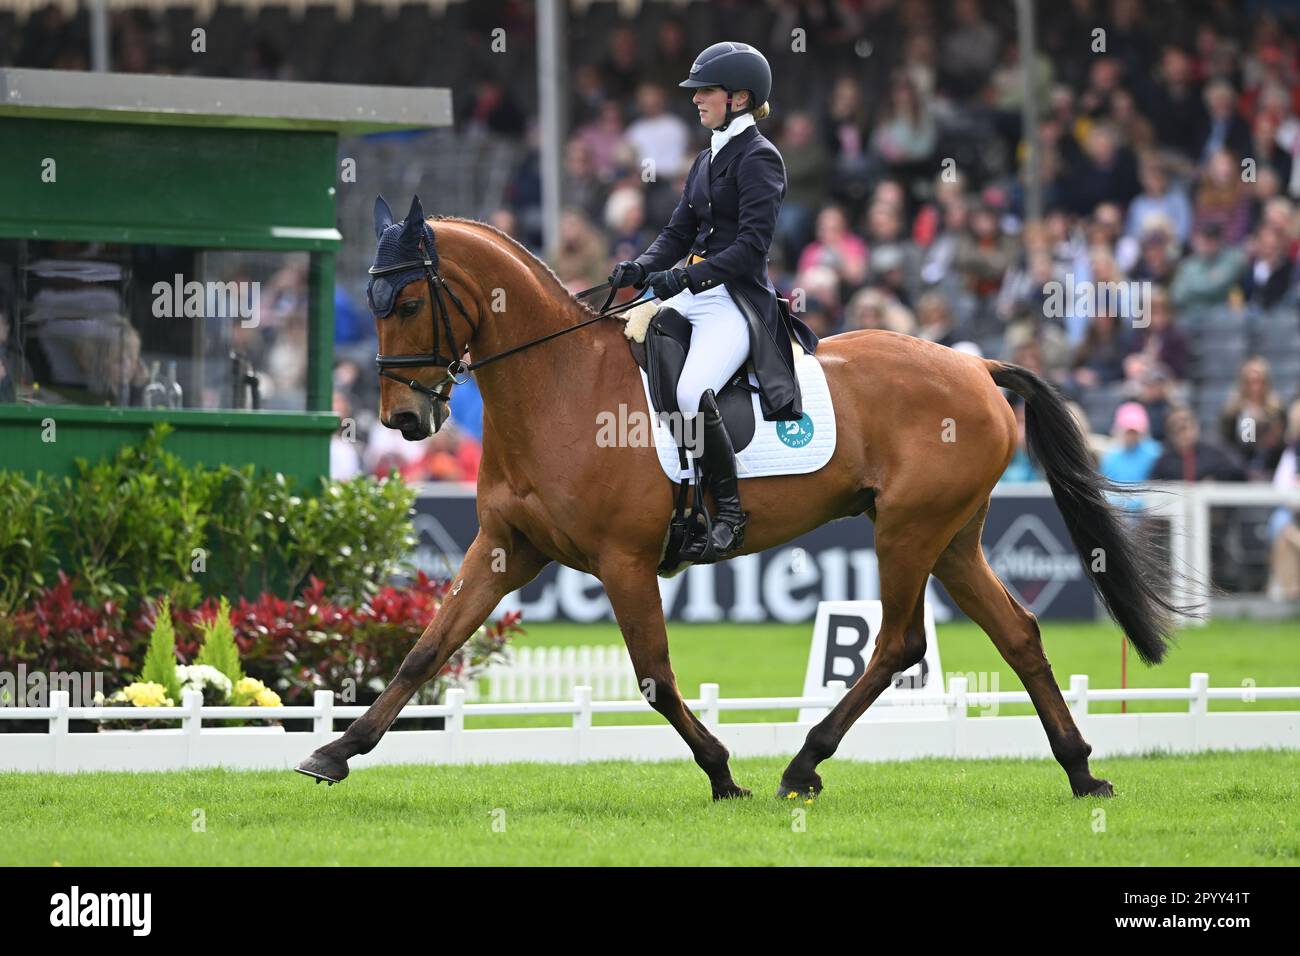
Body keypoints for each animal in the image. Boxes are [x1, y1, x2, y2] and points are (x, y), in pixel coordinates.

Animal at [297, 200, 1190, 801]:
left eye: (410, 302)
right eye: (374, 305)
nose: (404, 421)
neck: (555, 384)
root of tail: (974, 366)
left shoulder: (623, 561)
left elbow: (654, 676)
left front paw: (723, 773)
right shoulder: (505, 550)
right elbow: (426, 650)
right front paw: (335, 752)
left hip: (908, 532)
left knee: (897, 643)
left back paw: (803, 764)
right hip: (952, 537)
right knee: (1017, 634)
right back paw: (1081, 772)